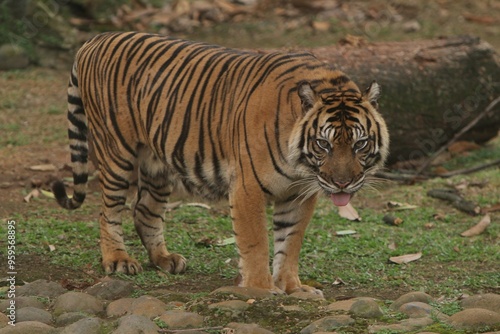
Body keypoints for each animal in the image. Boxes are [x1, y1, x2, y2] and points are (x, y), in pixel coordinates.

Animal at [53, 31, 390, 294]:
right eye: (323, 144)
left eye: (360, 144)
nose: (342, 183)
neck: (301, 166)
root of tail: (95, 39)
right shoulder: (248, 187)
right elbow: (256, 242)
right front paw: (261, 289)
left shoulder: (299, 194)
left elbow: (290, 242)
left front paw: (293, 288)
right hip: (115, 152)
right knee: (108, 211)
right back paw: (118, 260)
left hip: (156, 162)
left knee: (145, 211)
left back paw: (164, 259)